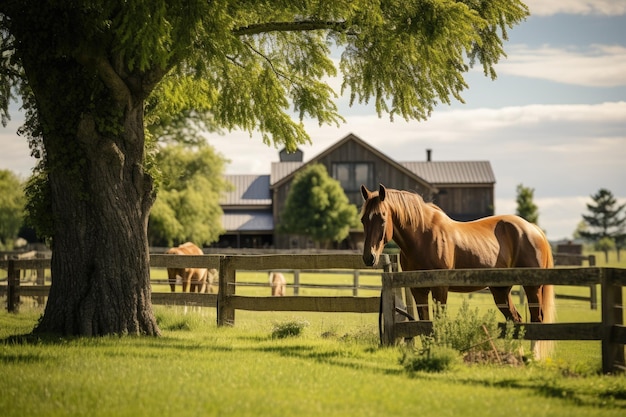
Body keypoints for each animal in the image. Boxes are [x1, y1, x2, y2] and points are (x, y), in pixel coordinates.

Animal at [358, 184, 552, 360]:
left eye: (383, 218)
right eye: (363, 220)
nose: (369, 257)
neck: (421, 237)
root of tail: (533, 229)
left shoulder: (440, 288)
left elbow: (438, 321)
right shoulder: (418, 290)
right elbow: (424, 323)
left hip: (532, 288)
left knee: (537, 320)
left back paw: (534, 357)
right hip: (501, 291)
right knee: (516, 321)